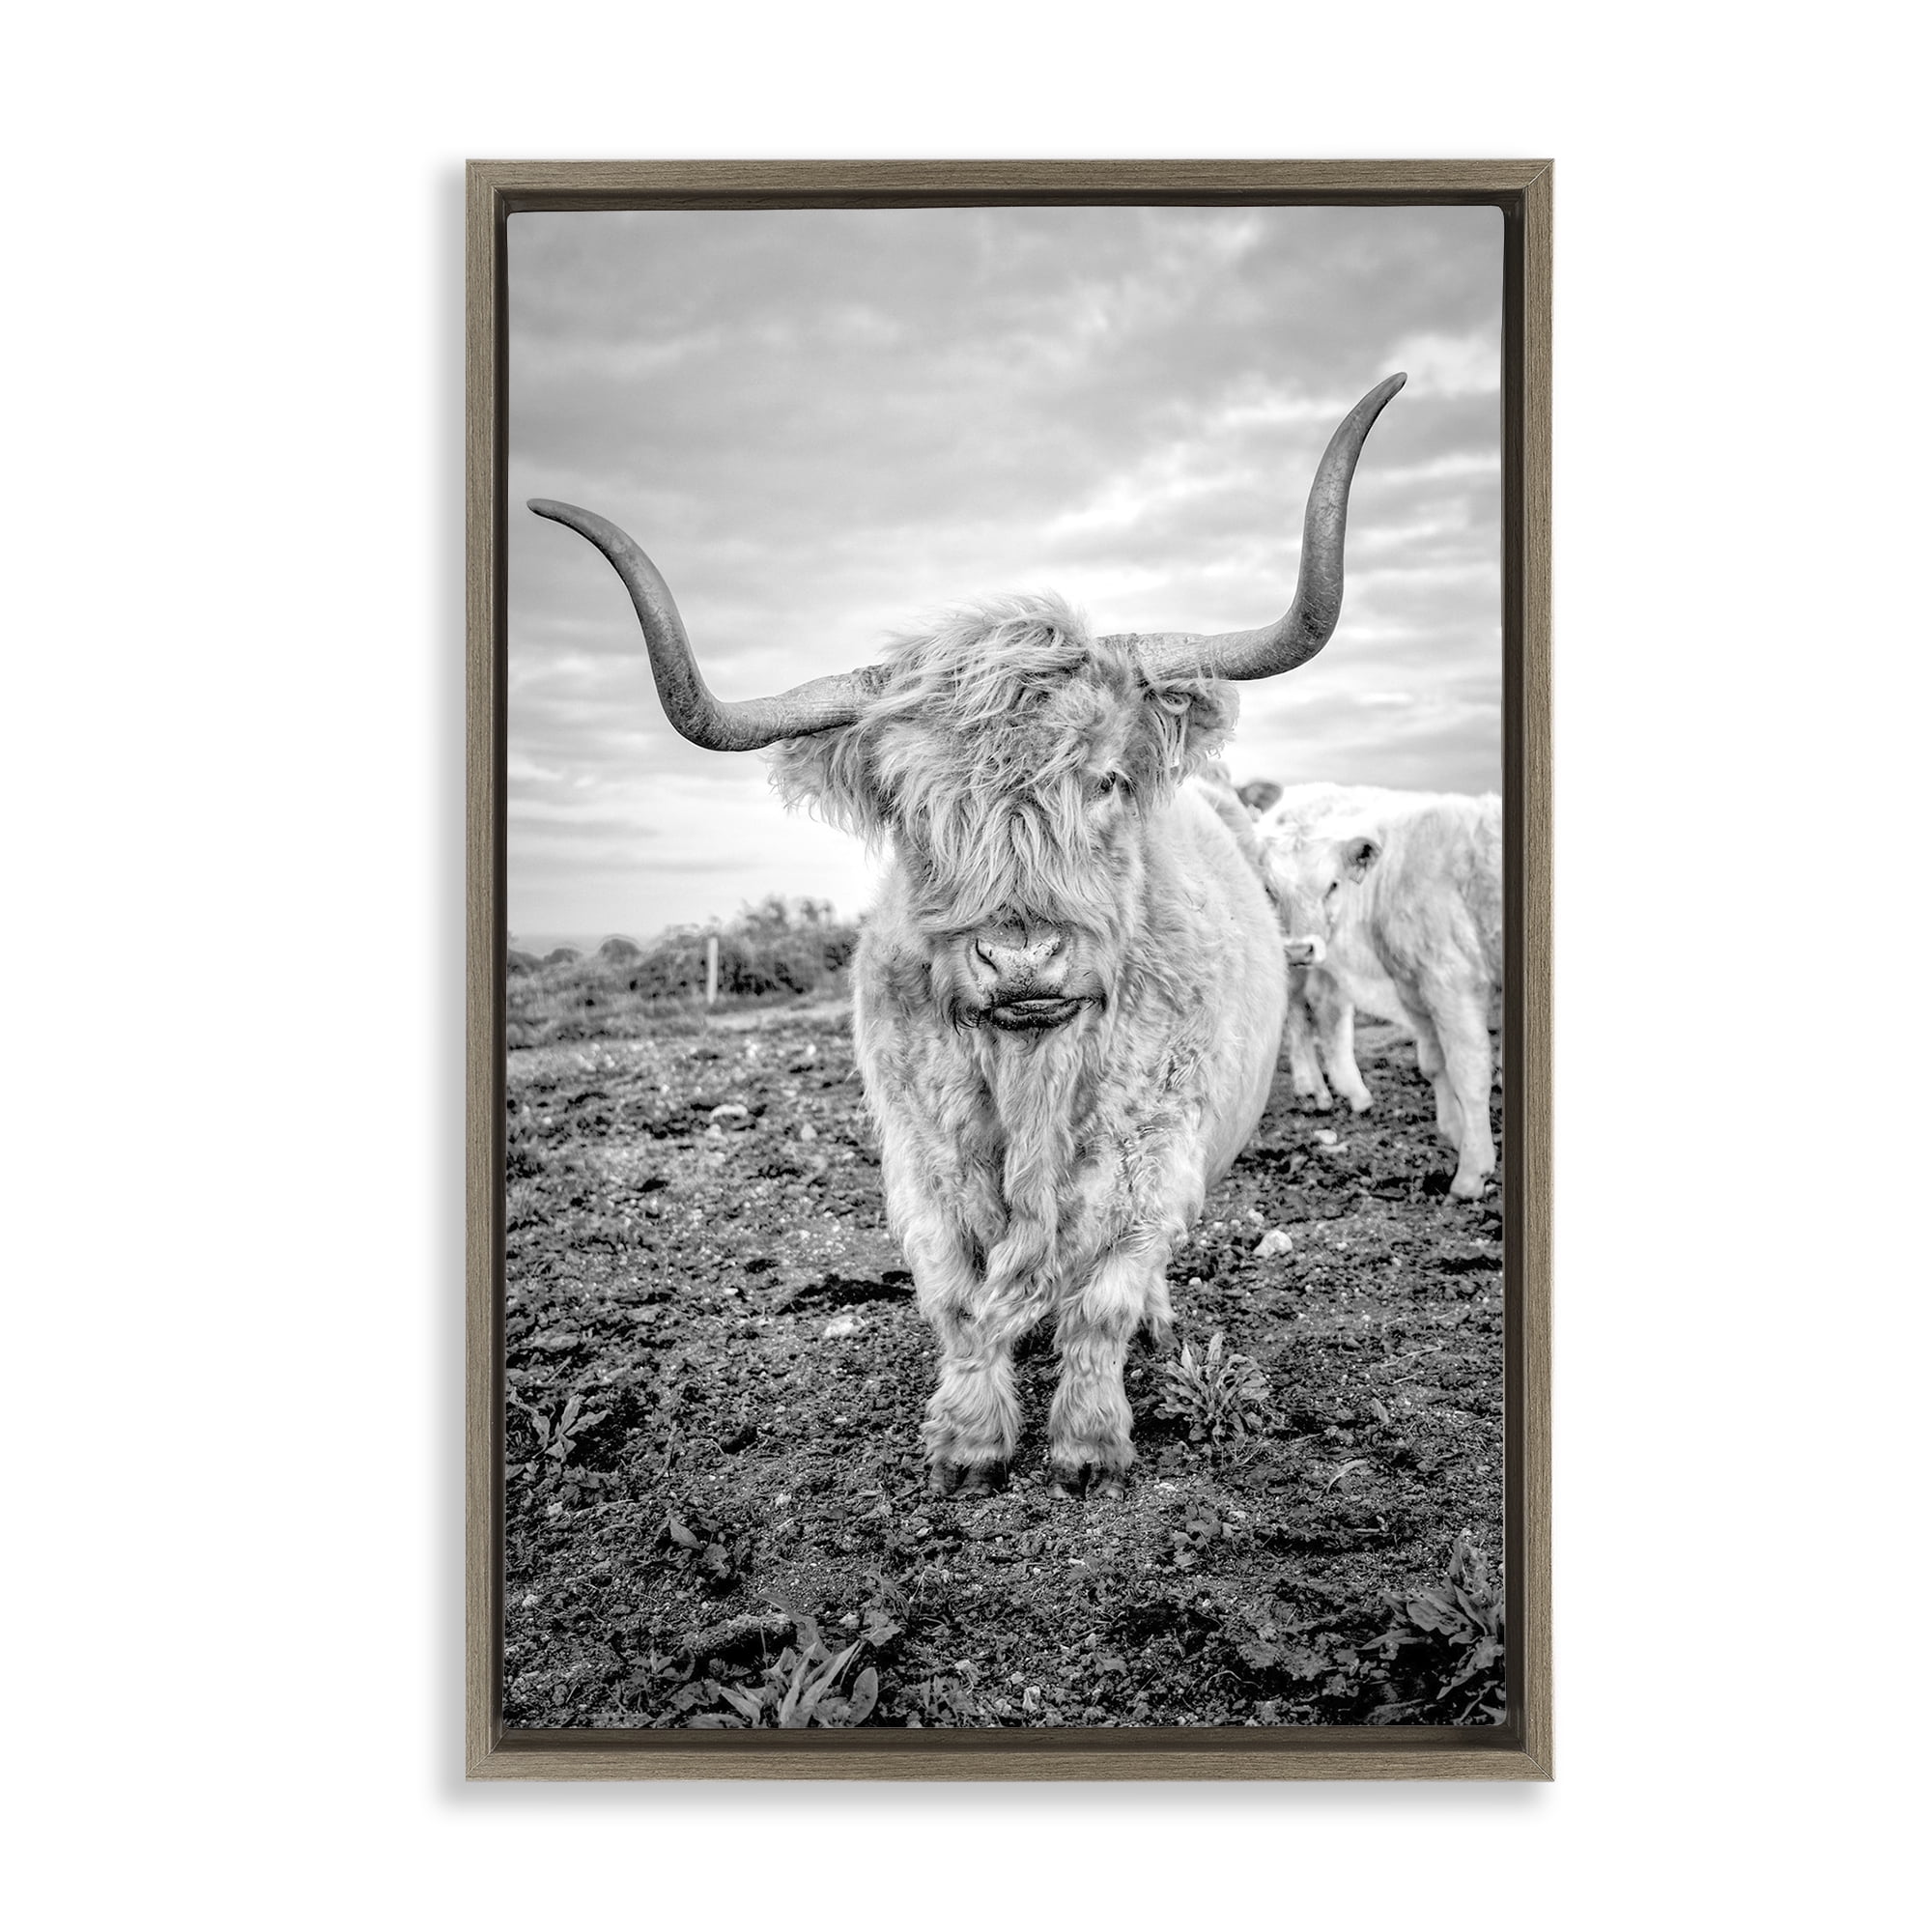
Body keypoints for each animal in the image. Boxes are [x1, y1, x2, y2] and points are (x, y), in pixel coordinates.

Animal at [529, 373, 1405, 1496]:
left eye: (1104, 778)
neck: (1031, 1073)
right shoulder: (920, 1159)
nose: (1022, 957)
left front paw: (1088, 1444)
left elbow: (1103, 1298)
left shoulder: (1154, 1155)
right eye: (912, 809)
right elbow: (954, 1298)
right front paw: (969, 1440)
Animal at [1256, 786, 1503, 1201]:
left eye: (1332, 885)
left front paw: (1470, 1171)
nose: (1299, 950)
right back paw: (1322, 1090)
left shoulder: (1445, 981)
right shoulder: (1422, 984)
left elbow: (1463, 1072)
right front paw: (1464, 1143)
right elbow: (1437, 1064)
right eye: (1270, 890)